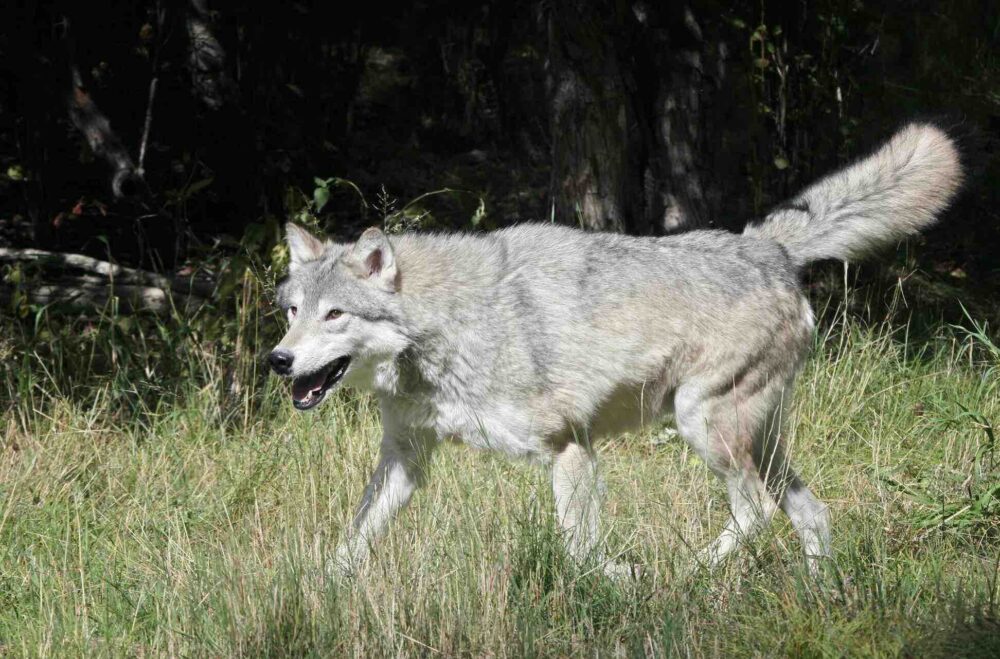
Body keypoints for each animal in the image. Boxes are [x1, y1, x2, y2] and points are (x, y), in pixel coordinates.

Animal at [266, 124, 960, 576]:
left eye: (335, 315)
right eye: (293, 313)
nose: (278, 360)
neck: (446, 330)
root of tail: (767, 246)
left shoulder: (569, 449)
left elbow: (580, 554)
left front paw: (611, 586)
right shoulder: (405, 461)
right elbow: (351, 542)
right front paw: (318, 594)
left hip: (705, 428)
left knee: (757, 514)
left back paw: (685, 574)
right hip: (756, 443)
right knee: (811, 513)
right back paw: (822, 595)